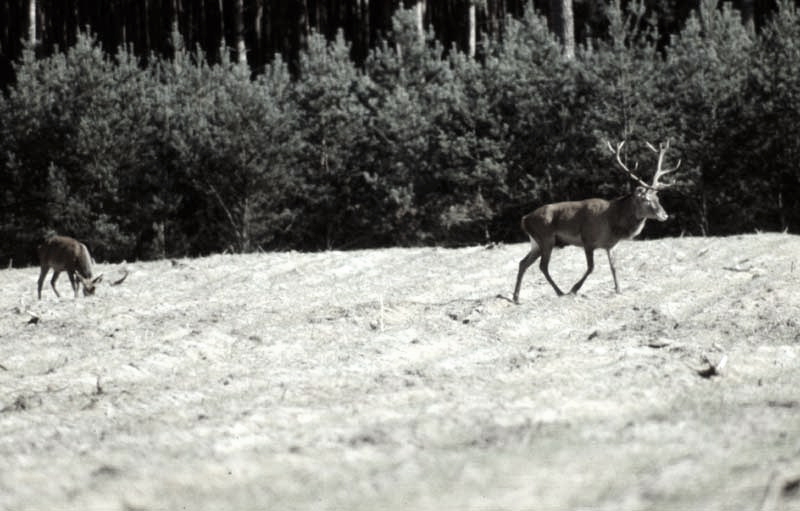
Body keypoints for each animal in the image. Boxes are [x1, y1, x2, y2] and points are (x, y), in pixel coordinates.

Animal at [512, 140, 680, 302]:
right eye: (647, 200)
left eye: (658, 198)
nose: (665, 215)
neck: (612, 223)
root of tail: (524, 219)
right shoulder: (588, 240)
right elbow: (591, 267)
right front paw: (574, 289)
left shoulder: (610, 245)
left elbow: (614, 267)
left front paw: (619, 289)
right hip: (546, 238)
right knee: (542, 266)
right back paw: (560, 292)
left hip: (536, 242)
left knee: (523, 262)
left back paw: (516, 297)